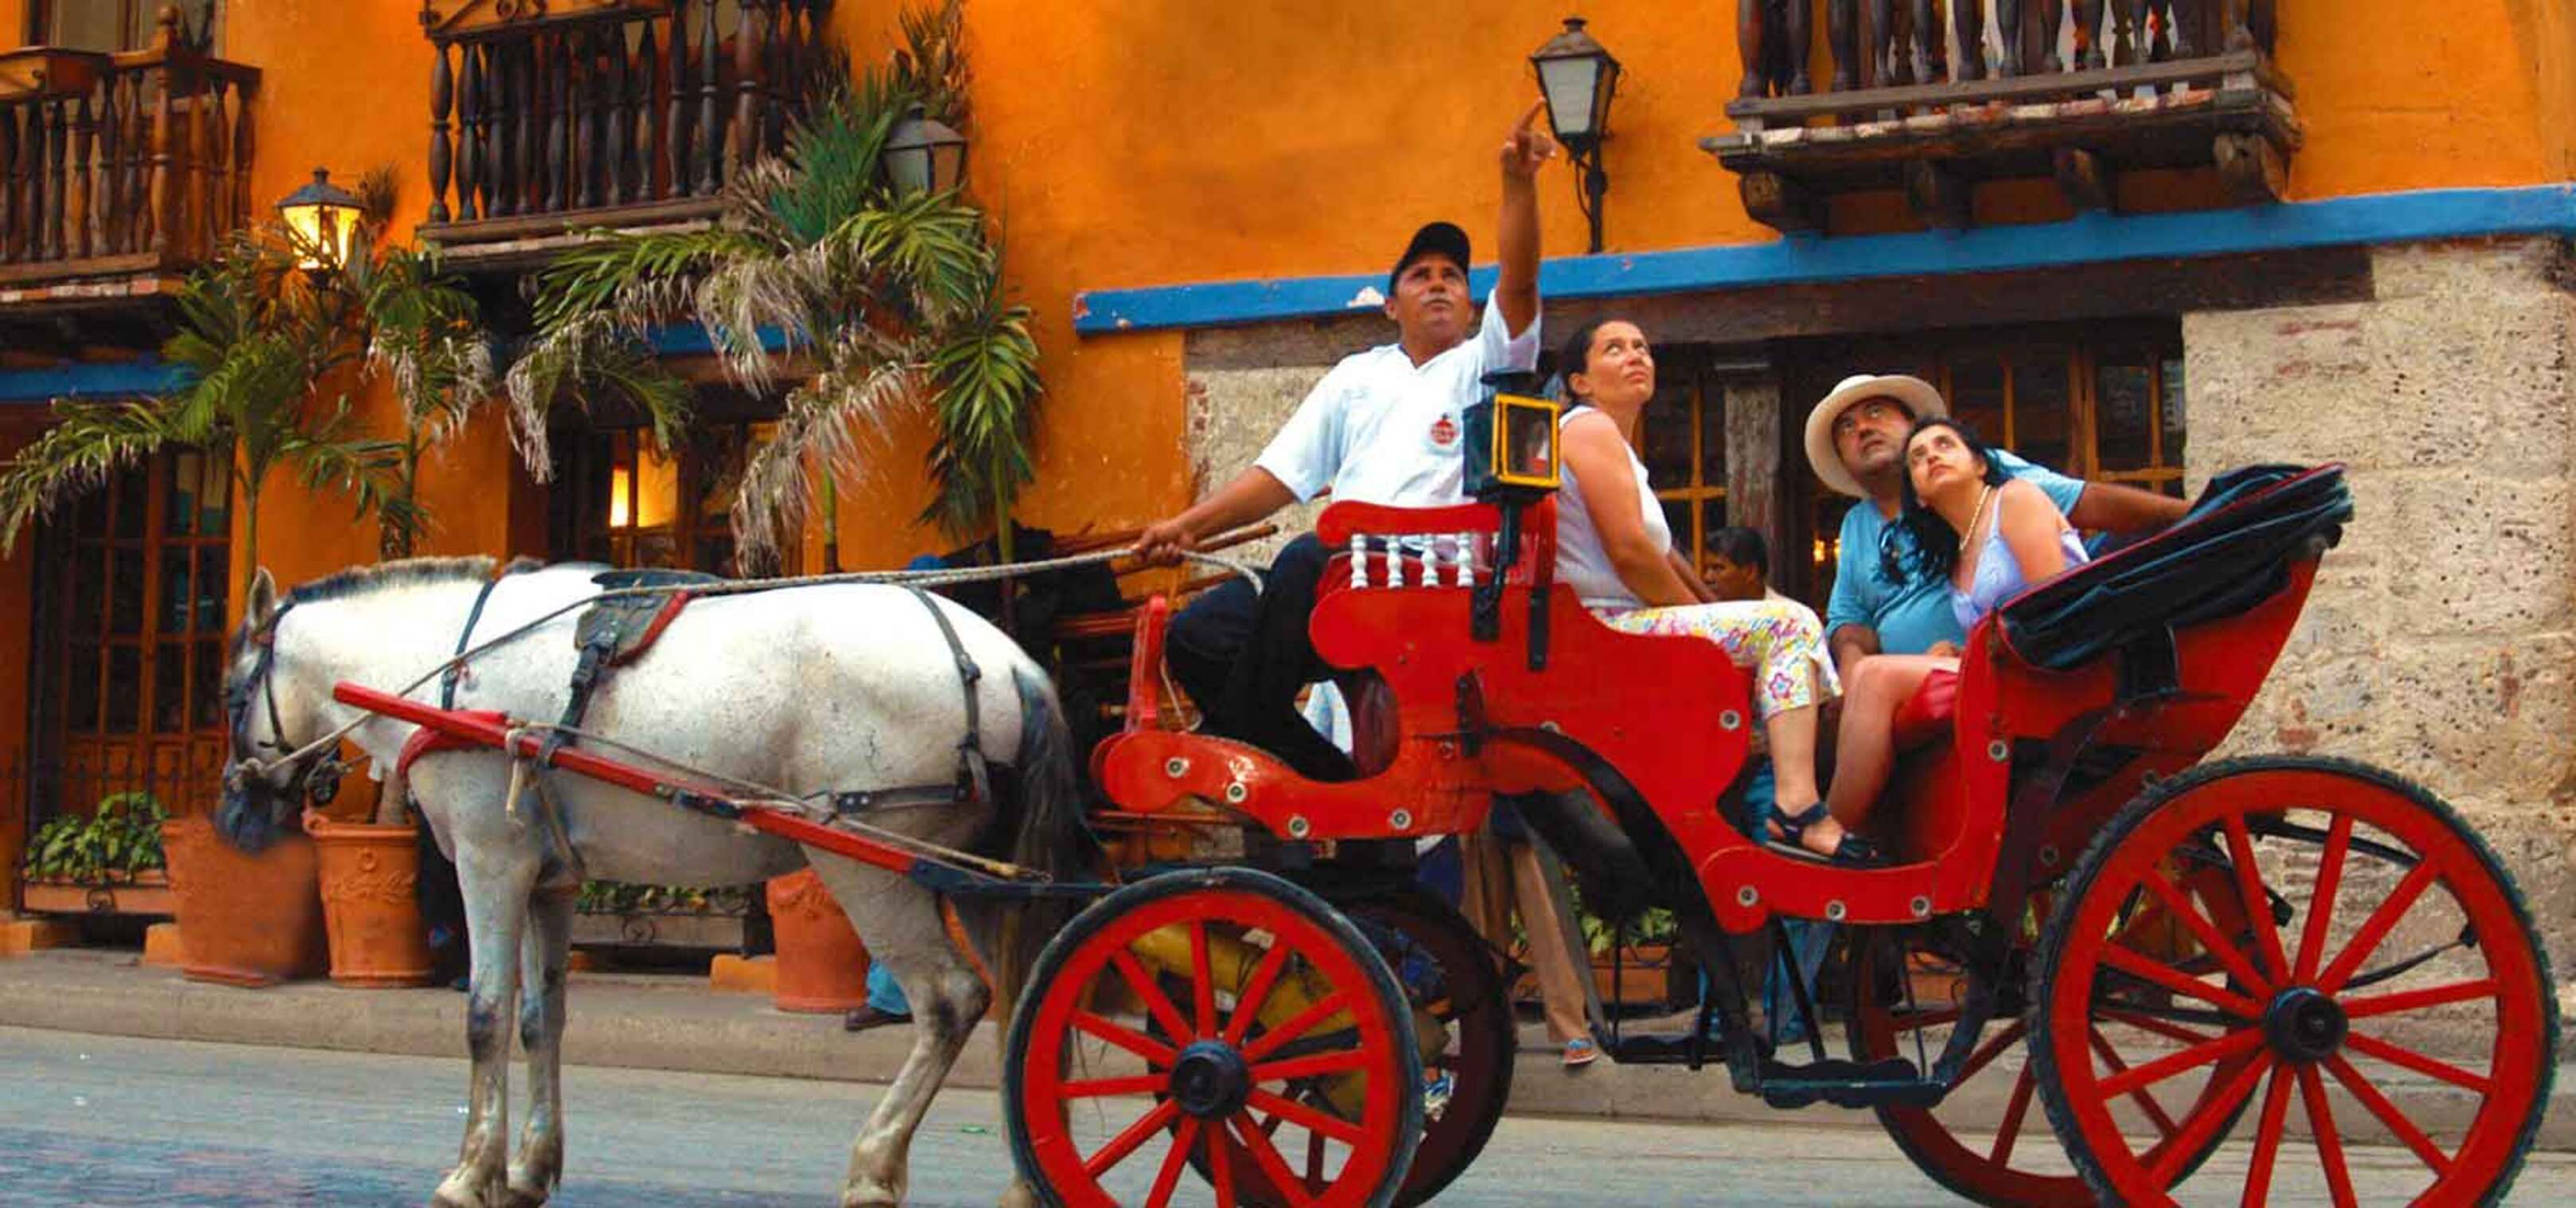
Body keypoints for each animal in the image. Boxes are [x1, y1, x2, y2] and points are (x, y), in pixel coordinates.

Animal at [218, 559, 1087, 1205]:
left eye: (231, 694)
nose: (235, 811)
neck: (452, 670)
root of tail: (1006, 661)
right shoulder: (549, 880)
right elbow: (539, 1019)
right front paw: (529, 1168)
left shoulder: (489, 860)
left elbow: (485, 1017)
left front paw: (470, 1174)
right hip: (981, 881)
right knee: (1024, 998)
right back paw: (1026, 1175)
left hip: (869, 865)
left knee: (950, 1001)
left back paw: (875, 1165)